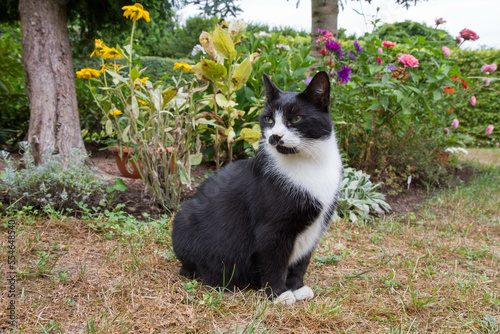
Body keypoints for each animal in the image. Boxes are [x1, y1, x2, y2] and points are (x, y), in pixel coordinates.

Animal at [173, 71, 344, 306]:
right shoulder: (271, 228)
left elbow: (302, 260)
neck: (308, 164)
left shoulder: (316, 226)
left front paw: (297, 287)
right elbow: (274, 261)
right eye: (269, 119)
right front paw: (279, 293)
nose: (275, 136)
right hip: (184, 216)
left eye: (296, 119)